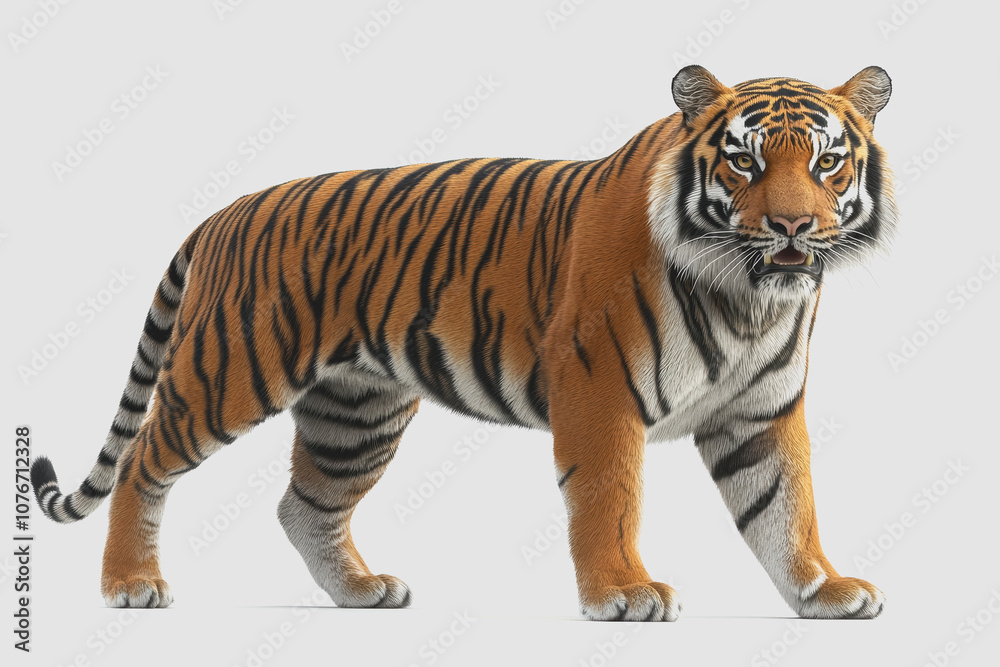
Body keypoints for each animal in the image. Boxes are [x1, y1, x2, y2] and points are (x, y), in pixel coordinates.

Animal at [31, 65, 898, 621]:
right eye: (744, 159)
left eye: (828, 160)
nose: (793, 226)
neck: (747, 298)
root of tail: (223, 212)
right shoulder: (600, 393)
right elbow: (610, 500)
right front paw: (623, 592)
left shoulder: (761, 413)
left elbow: (787, 507)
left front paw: (822, 591)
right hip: (229, 372)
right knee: (143, 459)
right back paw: (131, 583)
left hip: (356, 413)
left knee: (304, 503)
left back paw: (360, 591)